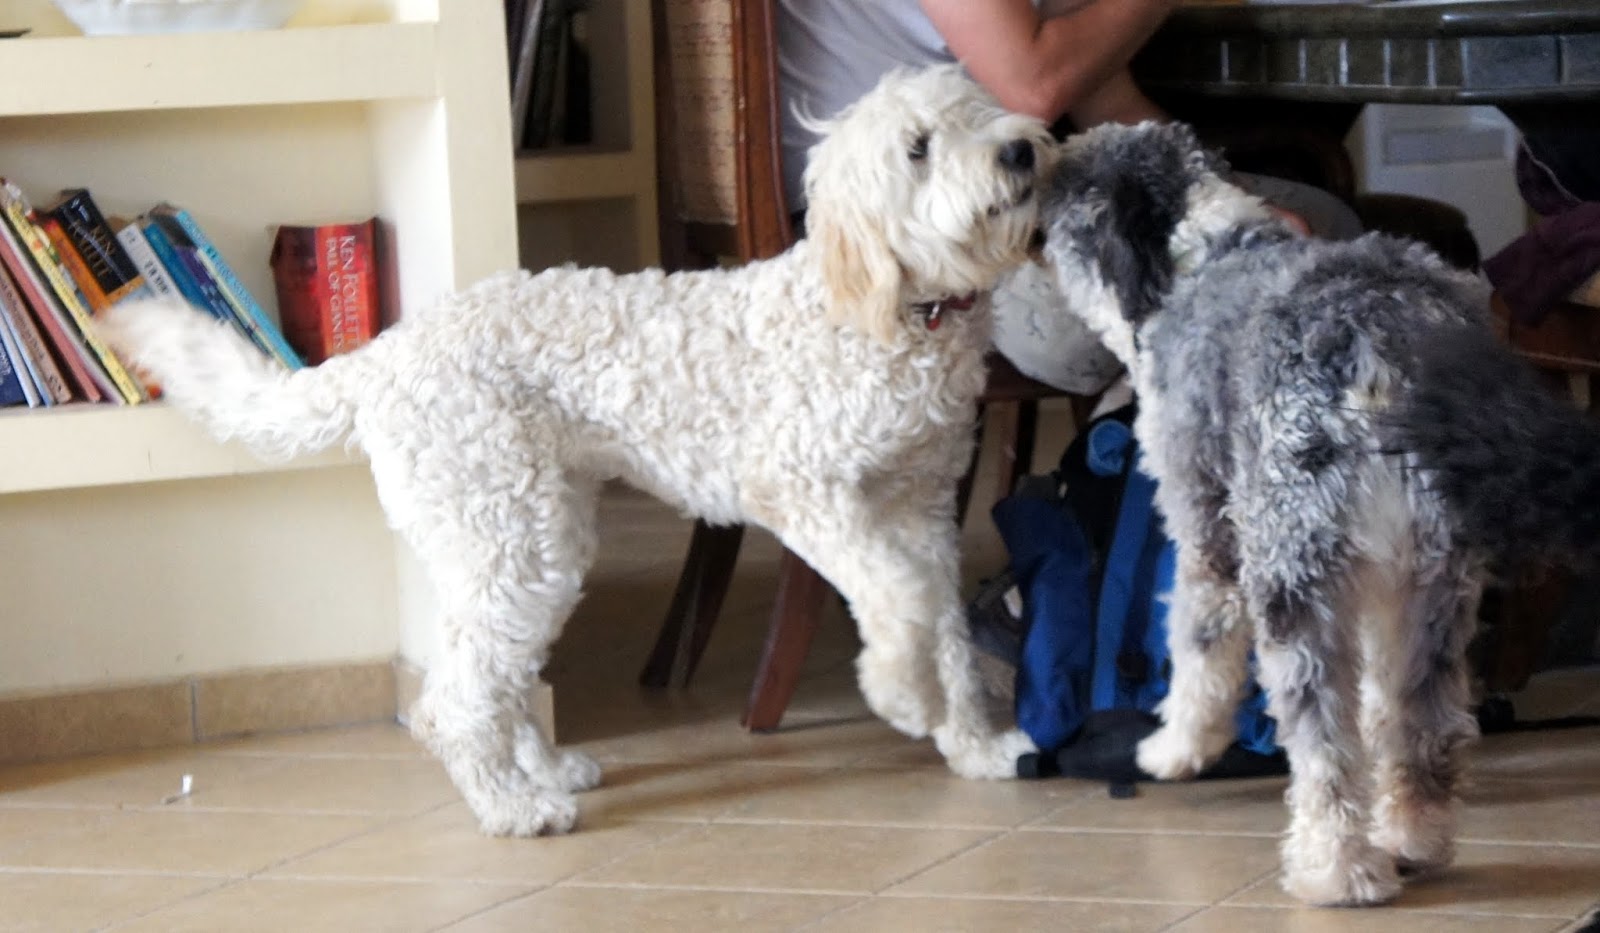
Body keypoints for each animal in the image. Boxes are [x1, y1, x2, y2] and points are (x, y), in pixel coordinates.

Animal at [97, 65, 1053, 837]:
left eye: (977, 108)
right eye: (919, 148)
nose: (1019, 149)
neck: (891, 313)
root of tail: (384, 355)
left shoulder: (923, 504)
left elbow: (945, 622)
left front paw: (974, 742)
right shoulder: (807, 492)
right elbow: (901, 597)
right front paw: (902, 693)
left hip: (532, 538)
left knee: (490, 669)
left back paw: (541, 767)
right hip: (512, 536)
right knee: (451, 701)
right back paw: (510, 806)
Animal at [1036, 120, 1600, 906]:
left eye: (1064, 201)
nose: (1029, 174)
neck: (1206, 250)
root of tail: (1382, 341)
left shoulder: (1205, 526)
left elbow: (1198, 645)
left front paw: (1175, 748)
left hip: (1293, 570)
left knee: (1326, 743)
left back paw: (1334, 869)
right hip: (1432, 584)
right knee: (1416, 720)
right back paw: (1411, 837)